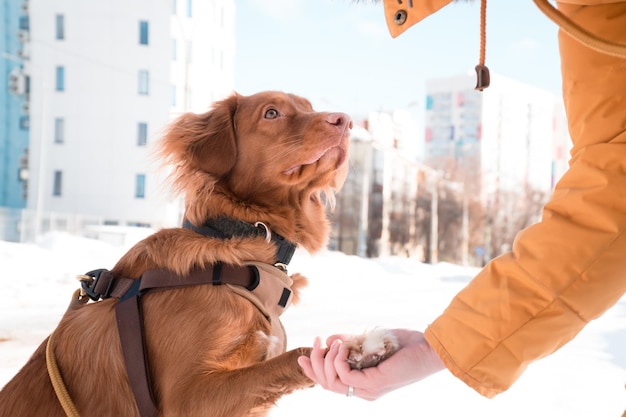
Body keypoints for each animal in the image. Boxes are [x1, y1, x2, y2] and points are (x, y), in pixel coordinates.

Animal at [0, 91, 352, 416]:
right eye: (272, 113)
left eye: (308, 107)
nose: (346, 120)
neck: (236, 243)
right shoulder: (187, 400)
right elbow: (297, 356)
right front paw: (346, 356)